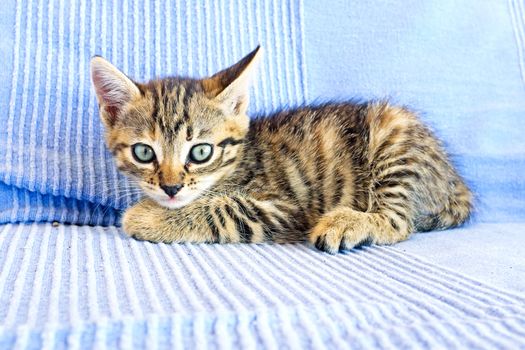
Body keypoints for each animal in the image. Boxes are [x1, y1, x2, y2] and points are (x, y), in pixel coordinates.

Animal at [89, 47, 470, 254]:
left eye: (200, 153)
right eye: (144, 153)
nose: (171, 187)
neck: (238, 163)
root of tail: (455, 182)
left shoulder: (286, 206)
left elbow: (223, 209)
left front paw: (147, 217)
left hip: (394, 132)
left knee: (399, 221)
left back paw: (347, 223)